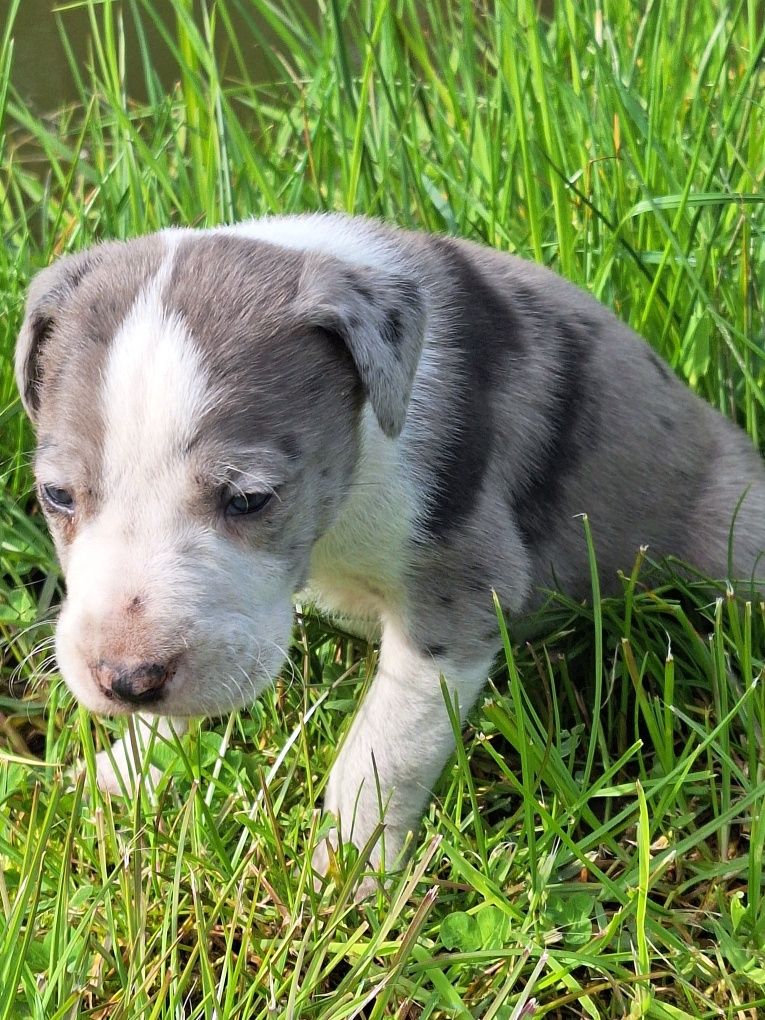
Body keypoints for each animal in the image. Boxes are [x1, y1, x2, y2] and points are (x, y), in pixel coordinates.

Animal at [14, 211, 765, 873]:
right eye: (57, 496)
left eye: (250, 499)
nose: (126, 680)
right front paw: (123, 772)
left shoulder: (456, 589)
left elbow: (386, 746)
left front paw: (348, 870)